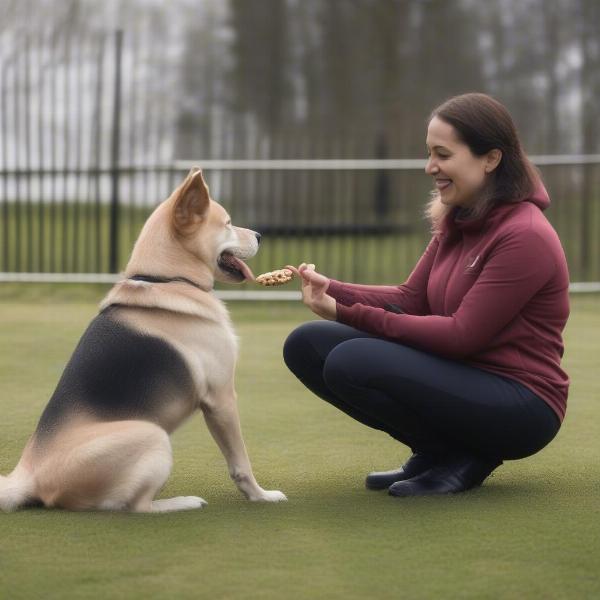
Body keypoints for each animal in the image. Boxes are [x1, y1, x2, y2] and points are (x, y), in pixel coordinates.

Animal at [0, 168, 286, 510]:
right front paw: (261, 495)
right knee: (133, 507)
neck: (167, 279)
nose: (260, 236)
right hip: (154, 435)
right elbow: (240, 462)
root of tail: (28, 476)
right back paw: (181, 503)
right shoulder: (221, 399)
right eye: (227, 223)